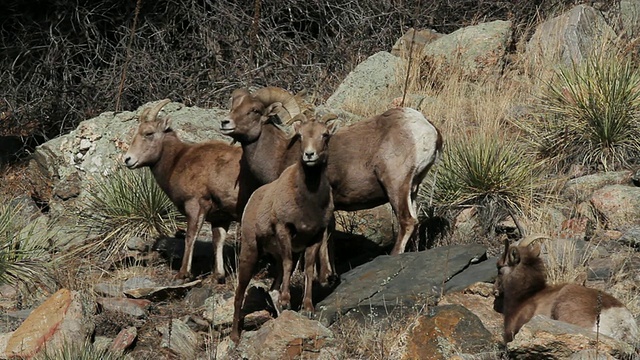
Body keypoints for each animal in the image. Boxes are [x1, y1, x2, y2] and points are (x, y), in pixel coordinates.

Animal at [122, 100, 250, 282]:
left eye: (148, 133)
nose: (128, 159)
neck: (178, 161)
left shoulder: (195, 205)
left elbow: (190, 237)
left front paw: (183, 274)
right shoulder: (220, 217)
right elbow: (218, 240)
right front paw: (218, 276)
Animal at [220, 87, 440, 282]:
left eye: (254, 110)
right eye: (233, 107)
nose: (225, 122)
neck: (280, 155)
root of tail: (426, 128)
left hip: (395, 185)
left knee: (407, 220)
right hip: (412, 189)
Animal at [231, 114, 340, 344]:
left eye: (324, 135)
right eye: (300, 136)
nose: (309, 155)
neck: (309, 200)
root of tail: (253, 199)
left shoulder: (315, 237)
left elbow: (309, 269)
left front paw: (307, 308)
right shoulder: (284, 230)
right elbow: (290, 264)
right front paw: (286, 301)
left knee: (272, 287)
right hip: (250, 252)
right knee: (239, 294)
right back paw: (235, 336)